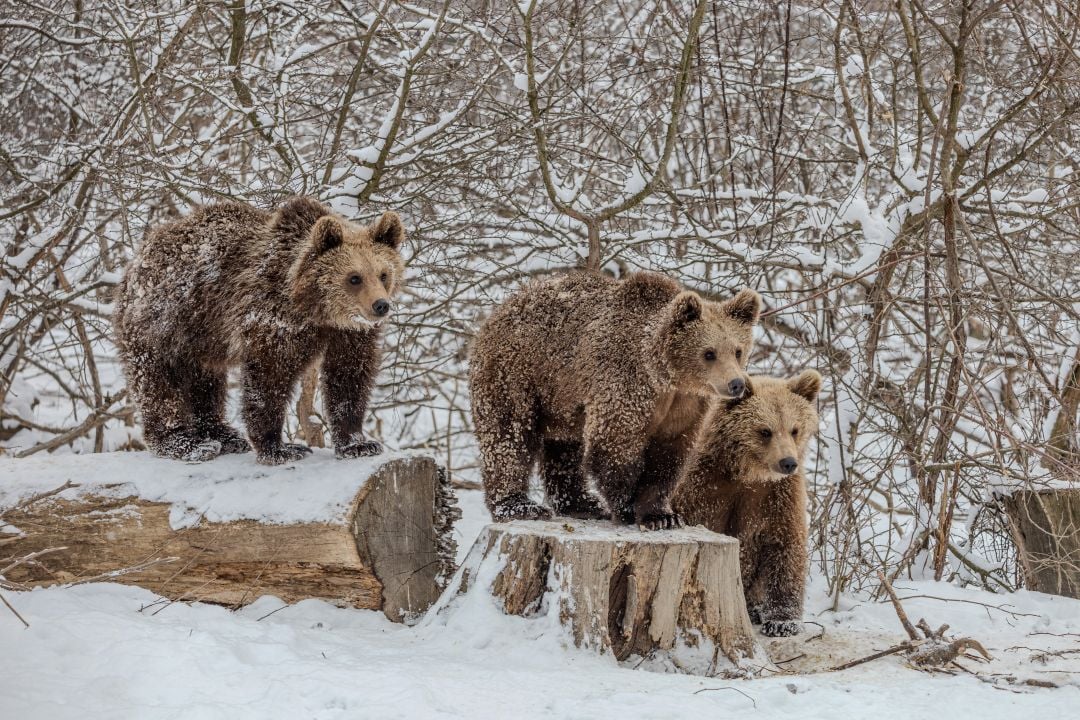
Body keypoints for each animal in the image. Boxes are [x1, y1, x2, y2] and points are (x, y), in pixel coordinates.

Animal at [113, 196, 405, 465]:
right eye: (354, 277)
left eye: (383, 274)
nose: (381, 306)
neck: (314, 309)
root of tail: (138, 258)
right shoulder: (271, 318)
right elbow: (269, 378)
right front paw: (279, 448)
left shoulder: (350, 334)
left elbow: (348, 377)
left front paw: (358, 443)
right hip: (165, 323)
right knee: (159, 382)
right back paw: (185, 443)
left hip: (202, 337)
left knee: (205, 381)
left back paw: (223, 435)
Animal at [469, 271, 761, 529]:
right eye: (709, 353)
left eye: (737, 350)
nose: (736, 384)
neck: (665, 376)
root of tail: (500, 310)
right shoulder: (625, 381)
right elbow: (615, 444)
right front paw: (628, 508)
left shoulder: (684, 405)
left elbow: (668, 455)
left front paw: (662, 515)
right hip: (518, 373)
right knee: (509, 434)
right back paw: (519, 506)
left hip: (562, 399)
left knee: (564, 448)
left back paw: (582, 504)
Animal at [673, 370, 822, 637]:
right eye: (765, 431)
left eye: (794, 429)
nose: (788, 462)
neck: (749, 473)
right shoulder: (703, 485)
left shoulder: (779, 496)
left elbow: (786, 545)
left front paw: (783, 622)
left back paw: (756, 610)